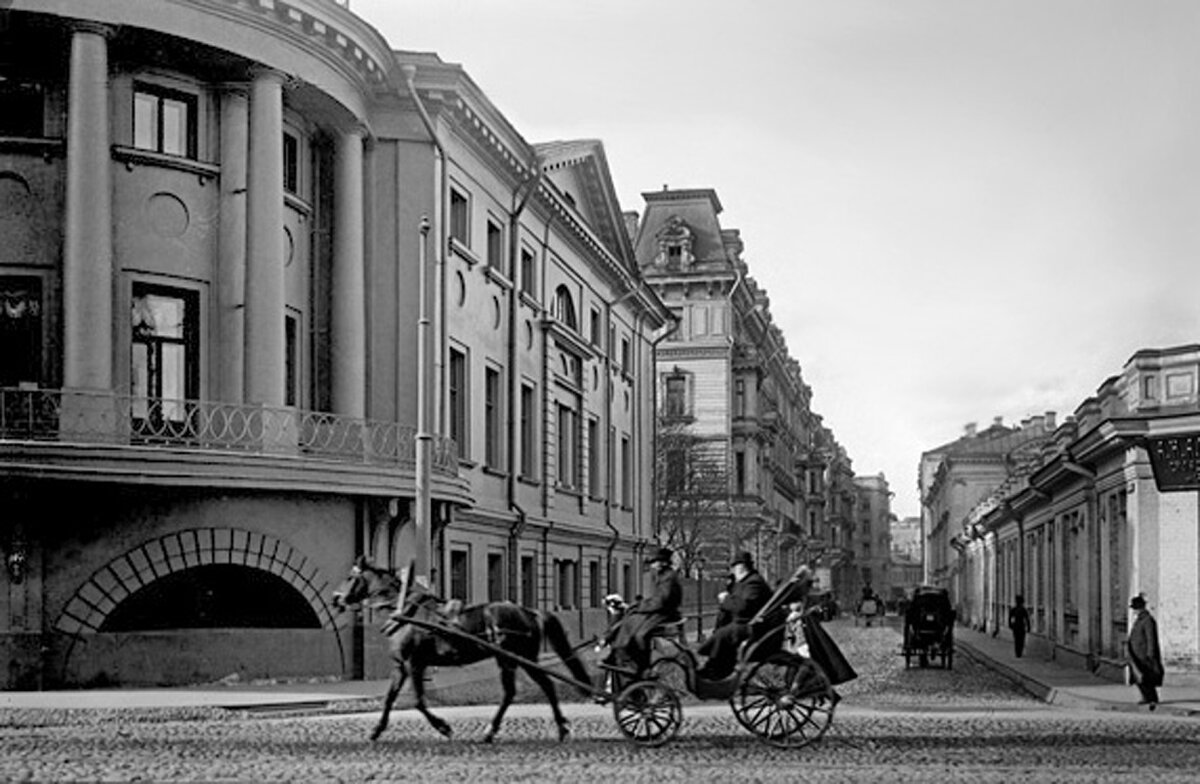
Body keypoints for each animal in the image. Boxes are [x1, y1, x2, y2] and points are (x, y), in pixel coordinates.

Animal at [331, 557, 592, 739]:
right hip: (515, 659)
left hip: (513, 658)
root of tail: (528, 611)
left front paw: (443, 727)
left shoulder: (414, 664)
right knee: (531, 688)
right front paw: (377, 729)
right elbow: (389, 698)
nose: (335, 598)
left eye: (349, 577)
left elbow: (418, 701)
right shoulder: (401, 666)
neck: (405, 611)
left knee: (533, 688)